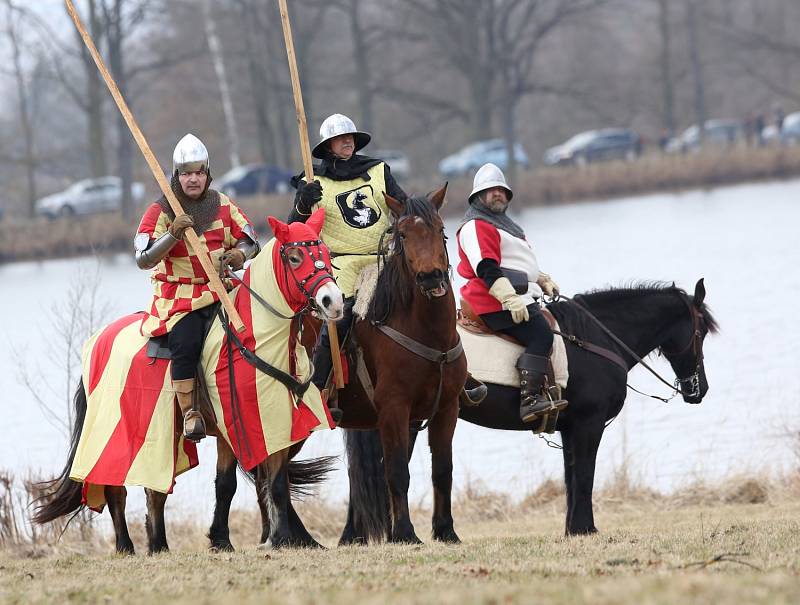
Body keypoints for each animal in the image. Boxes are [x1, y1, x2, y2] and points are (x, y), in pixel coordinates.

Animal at [32, 211, 344, 552]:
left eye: (326, 254)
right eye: (295, 256)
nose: (333, 301)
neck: (252, 335)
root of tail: (97, 340)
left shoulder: (271, 423)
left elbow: (260, 483)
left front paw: (268, 539)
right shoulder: (239, 422)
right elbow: (239, 483)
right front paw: (236, 539)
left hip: (165, 433)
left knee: (154, 492)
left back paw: (158, 546)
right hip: (117, 432)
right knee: (116, 488)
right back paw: (126, 546)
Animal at [340, 278, 716, 536]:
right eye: (700, 333)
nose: (698, 389)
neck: (593, 340)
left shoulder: (570, 428)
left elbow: (571, 477)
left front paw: (573, 529)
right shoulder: (589, 424)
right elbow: (585, 475)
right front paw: (585, 528)